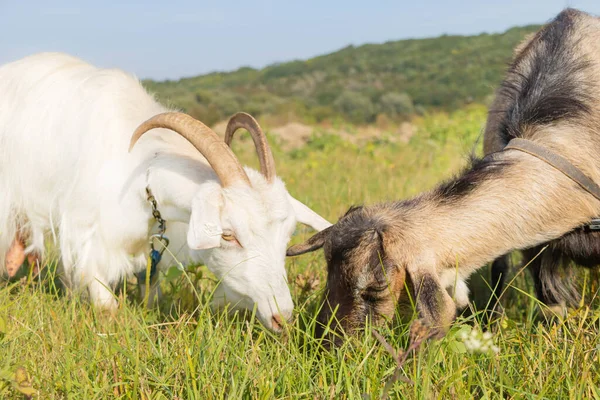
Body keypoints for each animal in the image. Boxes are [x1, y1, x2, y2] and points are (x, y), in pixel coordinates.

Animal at [0, 53, 328, 332]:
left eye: (286, 237)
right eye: (227, 235)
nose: (282, 317)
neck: (140, 169)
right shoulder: (89, 231)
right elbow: (106, 302)